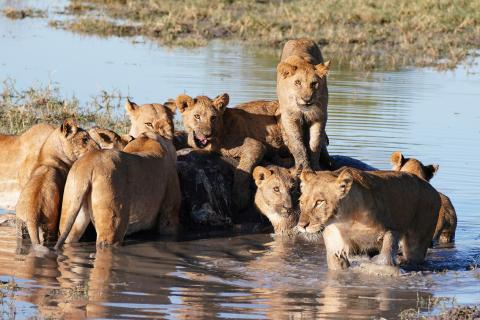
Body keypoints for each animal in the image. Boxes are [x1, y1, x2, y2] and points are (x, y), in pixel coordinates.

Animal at [15, 118, 99, 250]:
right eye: (85, 139)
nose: (99, 147)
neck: (49, 156)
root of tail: (31, 214)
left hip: (20, 226)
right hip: (50, 223)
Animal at [276, 38, 332, 171]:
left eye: (314, 84)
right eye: (297, 82)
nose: (307, 99)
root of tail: (300, 39)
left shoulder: (320, 116)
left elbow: (315, 142)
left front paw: (315, 166)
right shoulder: (289, 117)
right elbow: (297, 144)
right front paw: (302, 166)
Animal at [298, 168, 440, 270]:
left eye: (319, 202)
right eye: (301, 202)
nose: (301, 226)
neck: (346, 221)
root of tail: (433, 190)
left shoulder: (391, 228)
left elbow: (388, 248)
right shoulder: (336, 247)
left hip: (417, 242)